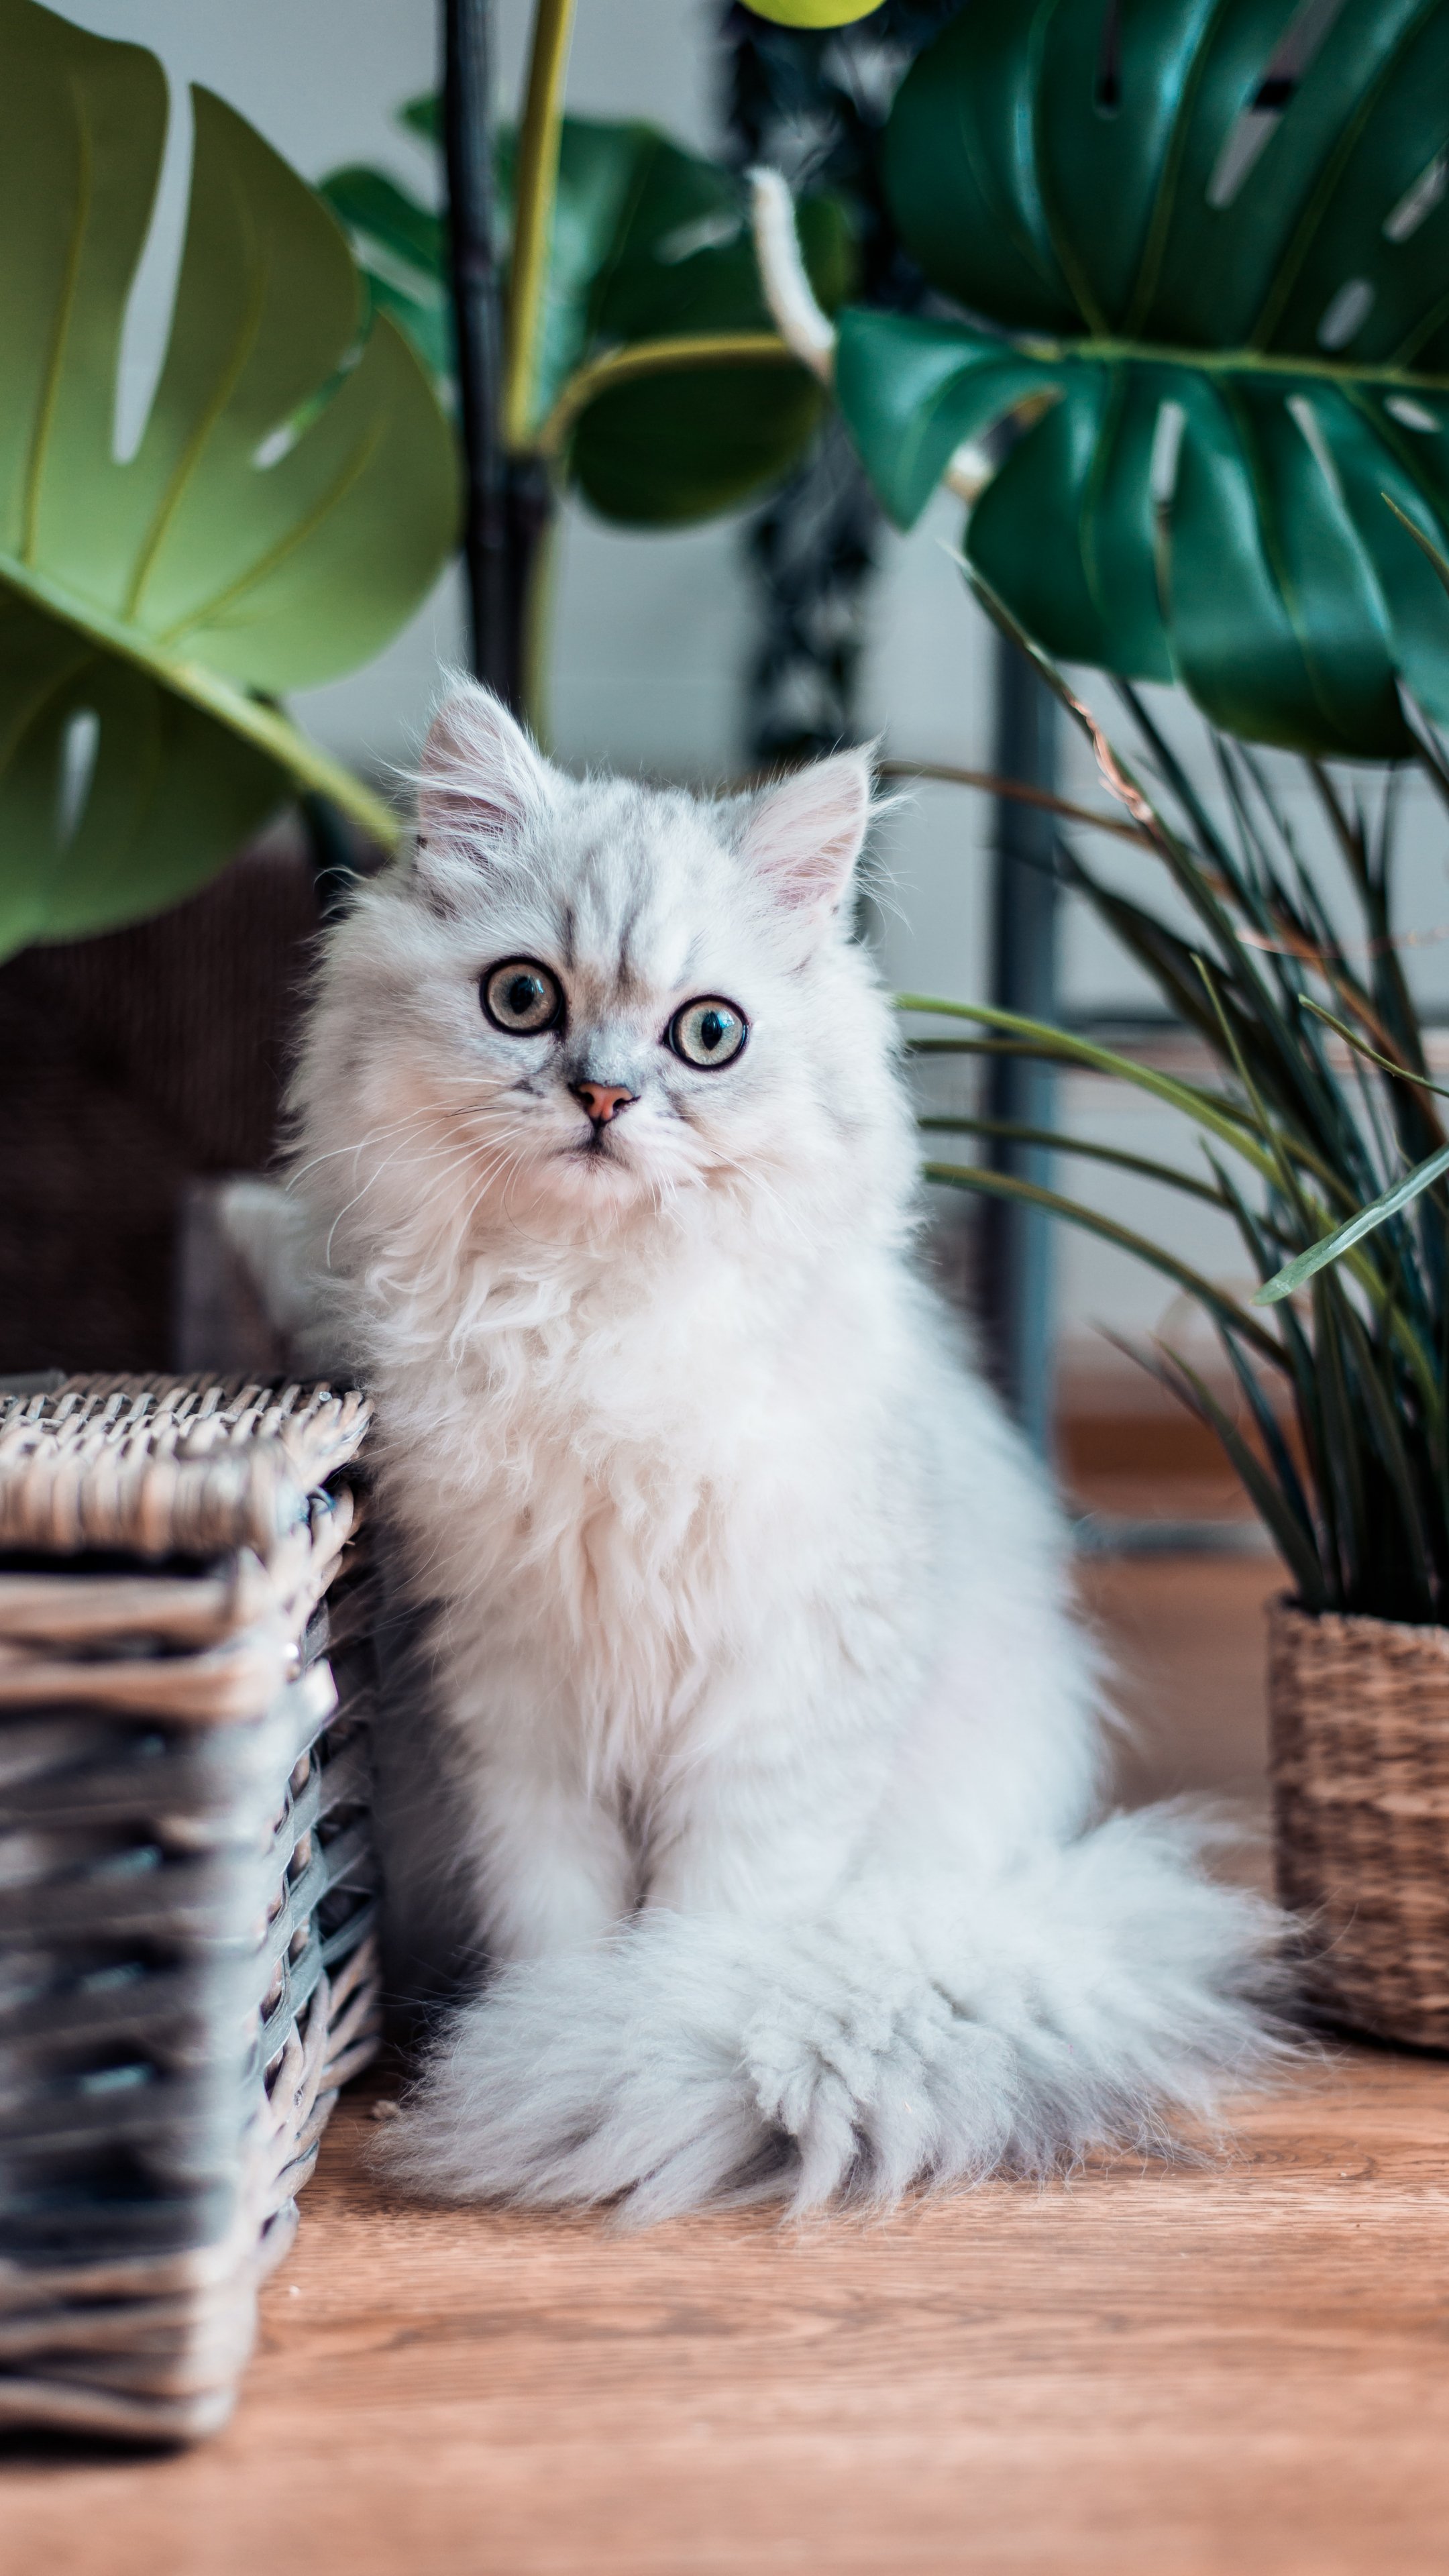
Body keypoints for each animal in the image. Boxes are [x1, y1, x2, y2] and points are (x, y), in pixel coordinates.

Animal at [288, 680, 1284, 2220]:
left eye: (708, 1035)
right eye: (524, 1000)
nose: (602, 1099)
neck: (596, 1325)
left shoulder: (776, 1710)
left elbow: (711, 1930)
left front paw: (633, 2037)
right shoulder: (513, 1713)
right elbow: (561, 1923)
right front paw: (556, 2029)